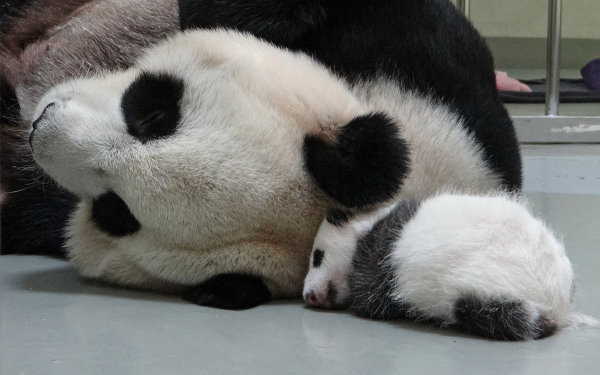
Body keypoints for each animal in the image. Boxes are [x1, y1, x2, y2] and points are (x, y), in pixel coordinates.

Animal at [308, 194, 596, 340]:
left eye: (317, 257)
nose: (309, 295)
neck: (369, 221)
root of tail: (557, 303)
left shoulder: (380, 254)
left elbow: (371, 297)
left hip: (483, 284)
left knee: (494, 313)